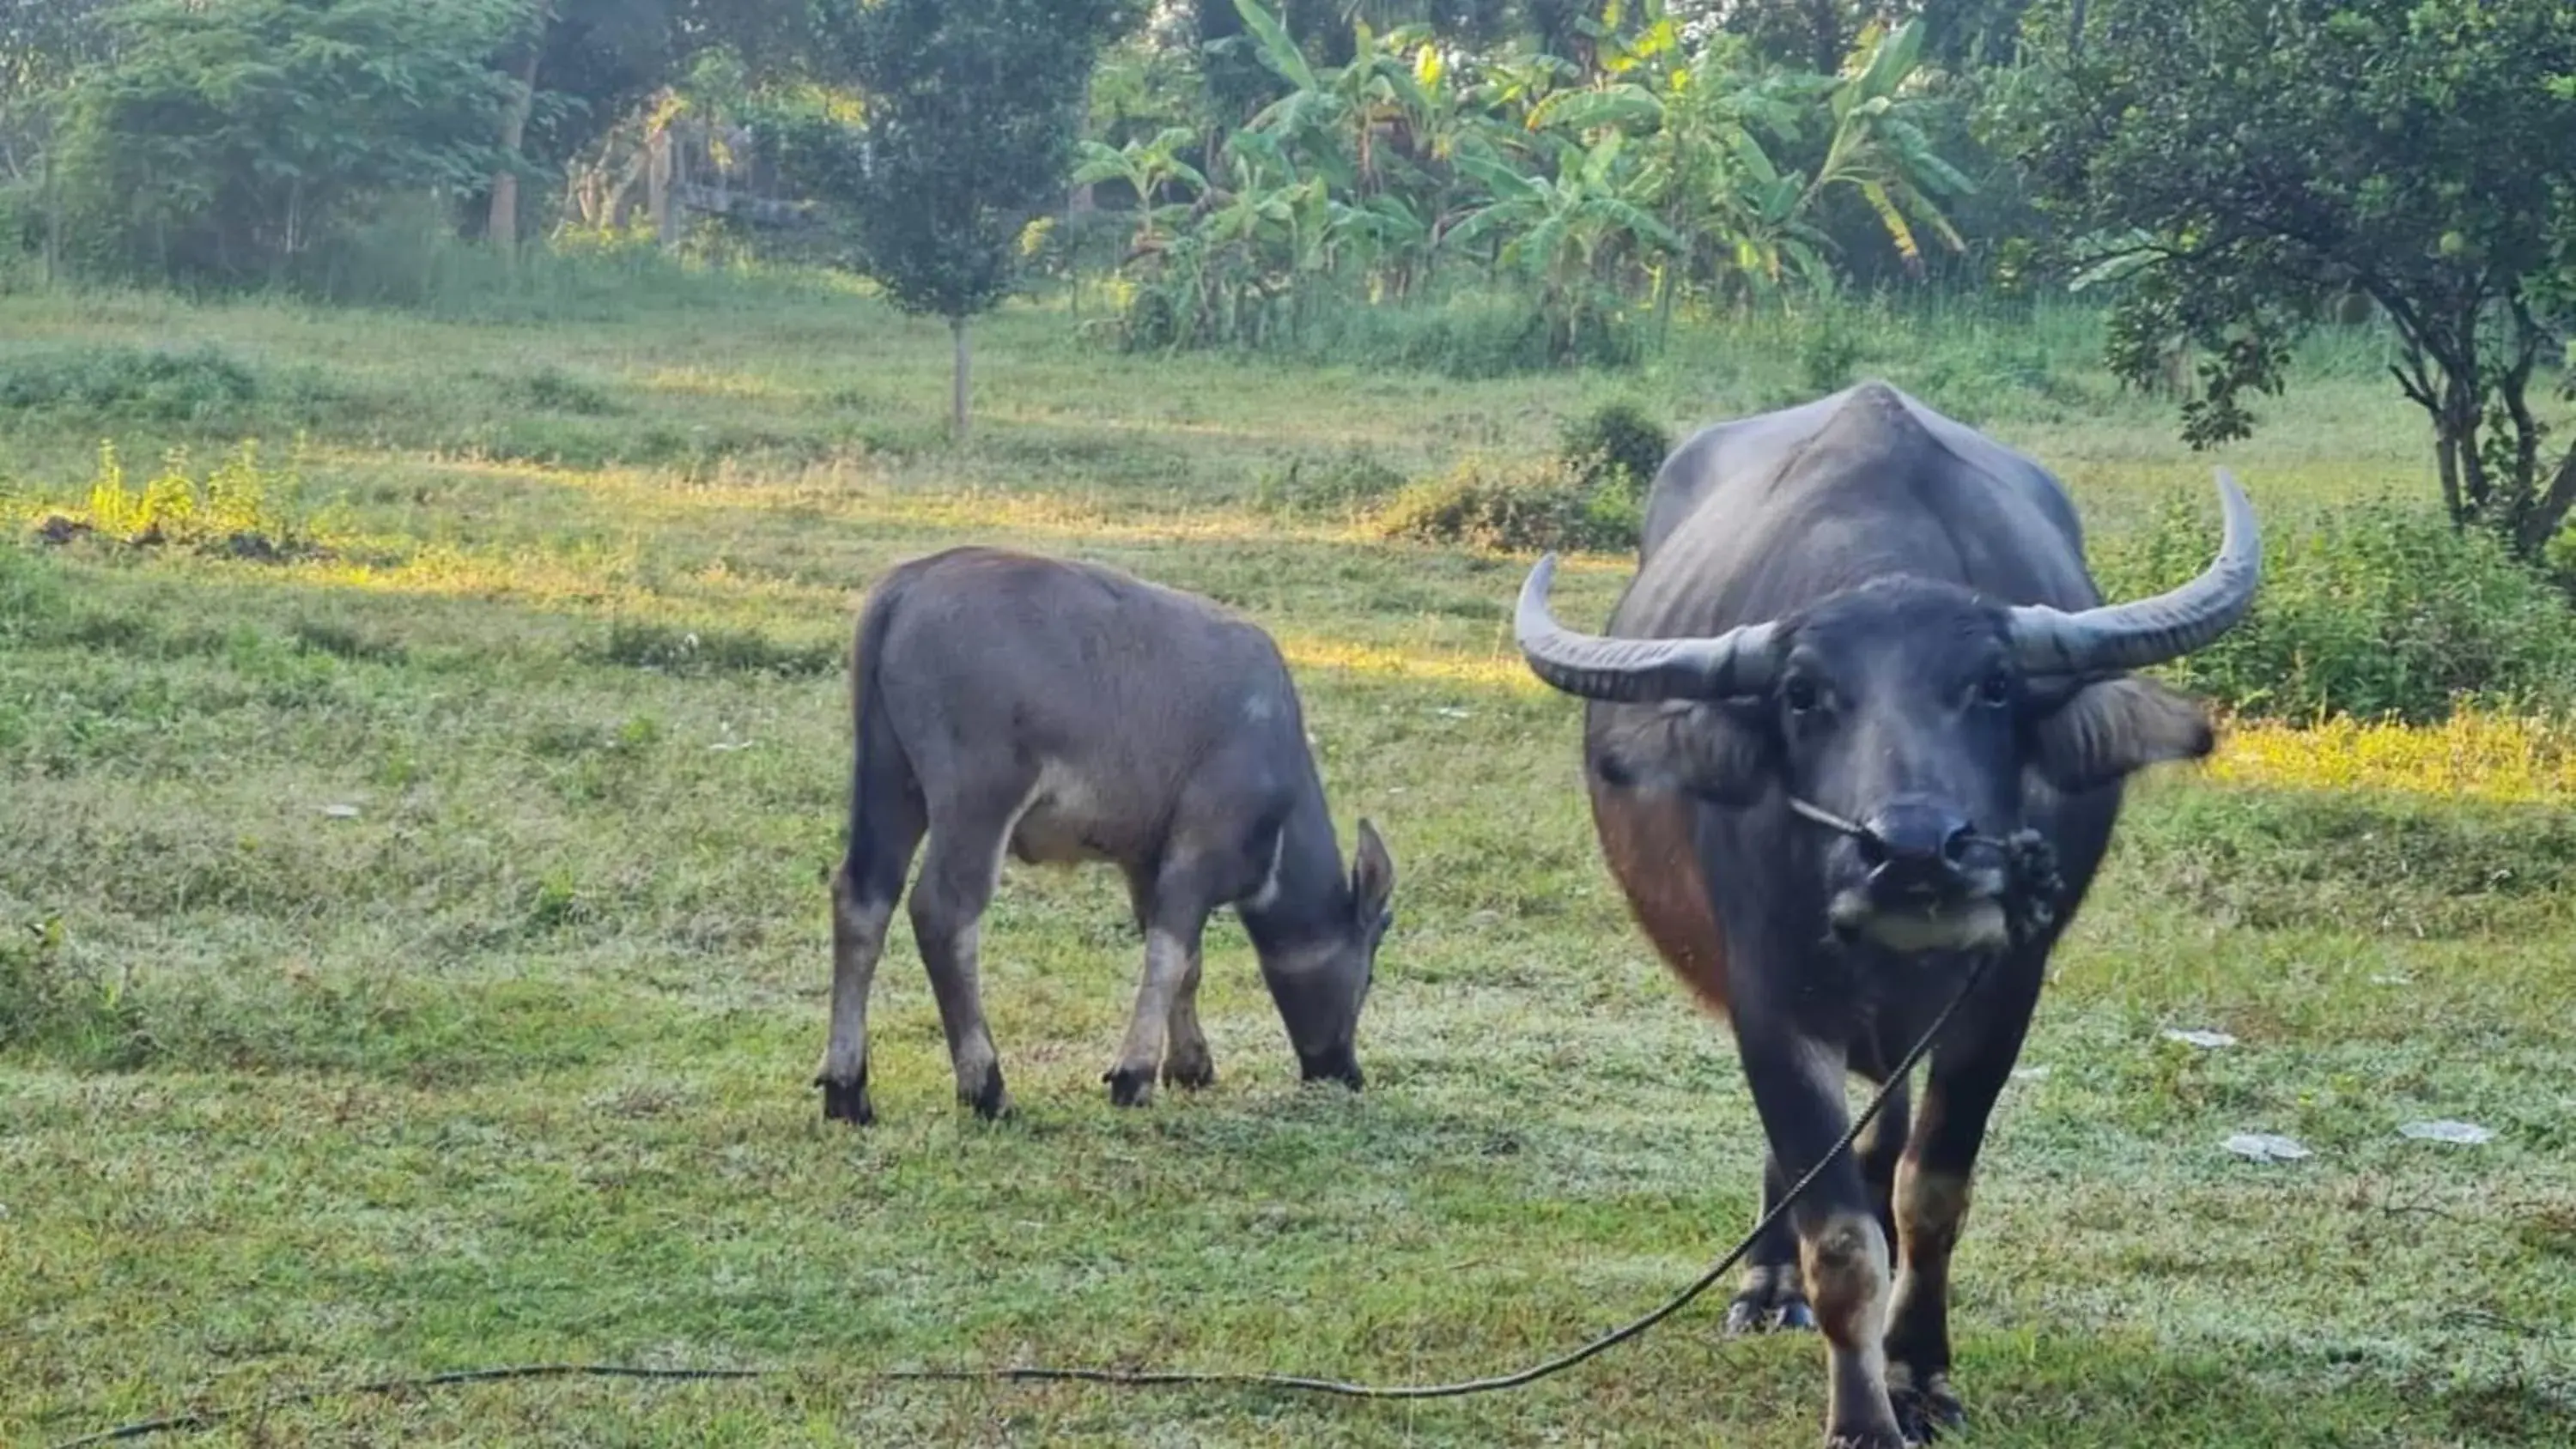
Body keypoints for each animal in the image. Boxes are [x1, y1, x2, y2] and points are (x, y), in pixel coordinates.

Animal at [814, 545, 1401, 1122]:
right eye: (1370, 973)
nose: (1346, 1071)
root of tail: (907, 587)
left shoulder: (1144, 863)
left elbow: (1187, 963)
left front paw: (1190, 1065)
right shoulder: (1198, 852)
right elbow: (1168, 953)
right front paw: (1134, 1075)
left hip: (888, 781)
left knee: (863, 899)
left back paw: (847, 1089)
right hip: (976, 800)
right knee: (943, 912)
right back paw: (986, 1087)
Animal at [1504, 383, 2257, 1449]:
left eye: (1994, 684)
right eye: (1802, 694)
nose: (1913, 848)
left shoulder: (2002, 996)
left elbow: (1931, 1190)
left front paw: (1918, 1372)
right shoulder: (1772, 999)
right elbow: (1839, 1234)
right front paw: (1859, 1409)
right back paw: (1766, 1284)